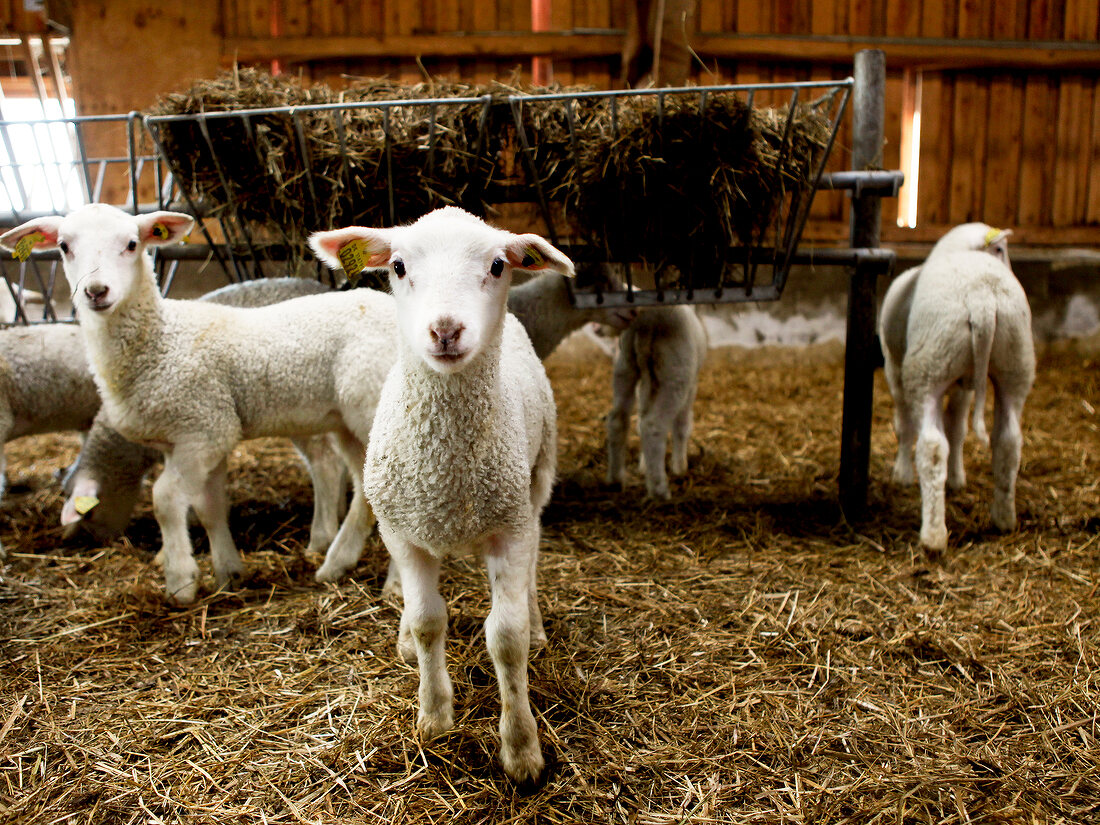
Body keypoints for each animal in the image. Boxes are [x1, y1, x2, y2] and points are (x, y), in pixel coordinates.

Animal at [0, 205, 396, 607]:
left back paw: (391, 583)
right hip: (347, 425)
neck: (159, 339)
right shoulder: (200, 435)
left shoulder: (203, 430)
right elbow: (209, 508)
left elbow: (165, 499)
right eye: (64, 246)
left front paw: (180, 581)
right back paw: (337, 563)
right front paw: (228, 573)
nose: (96, 292)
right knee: (364, 490)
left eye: (132, 244)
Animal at [308, 206, 567, 787]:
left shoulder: (509, 526)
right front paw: (434, 718)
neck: (445, 467)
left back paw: (539, 625)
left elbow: (506, 638)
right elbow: (429, 622)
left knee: (533, 564)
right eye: (398, 265)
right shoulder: (403, 531)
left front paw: (521, 751)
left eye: (498, 265)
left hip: (537, 481)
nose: (445, 330)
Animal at [875, 223, 1029, 552]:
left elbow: (905, 426)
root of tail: (982, 300)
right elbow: (957, 428)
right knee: (1008, 442)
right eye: (1000, 249)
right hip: (1015, 363)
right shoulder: (965, 385)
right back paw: (1004, 519)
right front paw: (957, 479)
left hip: (928, 366)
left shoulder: (895, 366)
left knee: (932, 446)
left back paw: (933, 536)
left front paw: (902, 475)